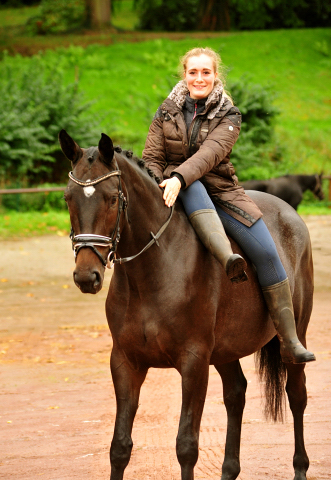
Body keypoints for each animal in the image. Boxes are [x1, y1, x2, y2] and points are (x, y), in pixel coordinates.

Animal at [59, 129, 316, 480]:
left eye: (112, 198)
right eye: (68, 198)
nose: (87, 276)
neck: (154, 270)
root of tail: (289, 212)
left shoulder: (193, 363)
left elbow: (186, 445)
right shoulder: (125, 363)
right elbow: (120, 447)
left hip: (293, 338)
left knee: (296, 395)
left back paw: (300, 467)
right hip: (224, 350)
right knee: (236, 393)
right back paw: (229, 470)